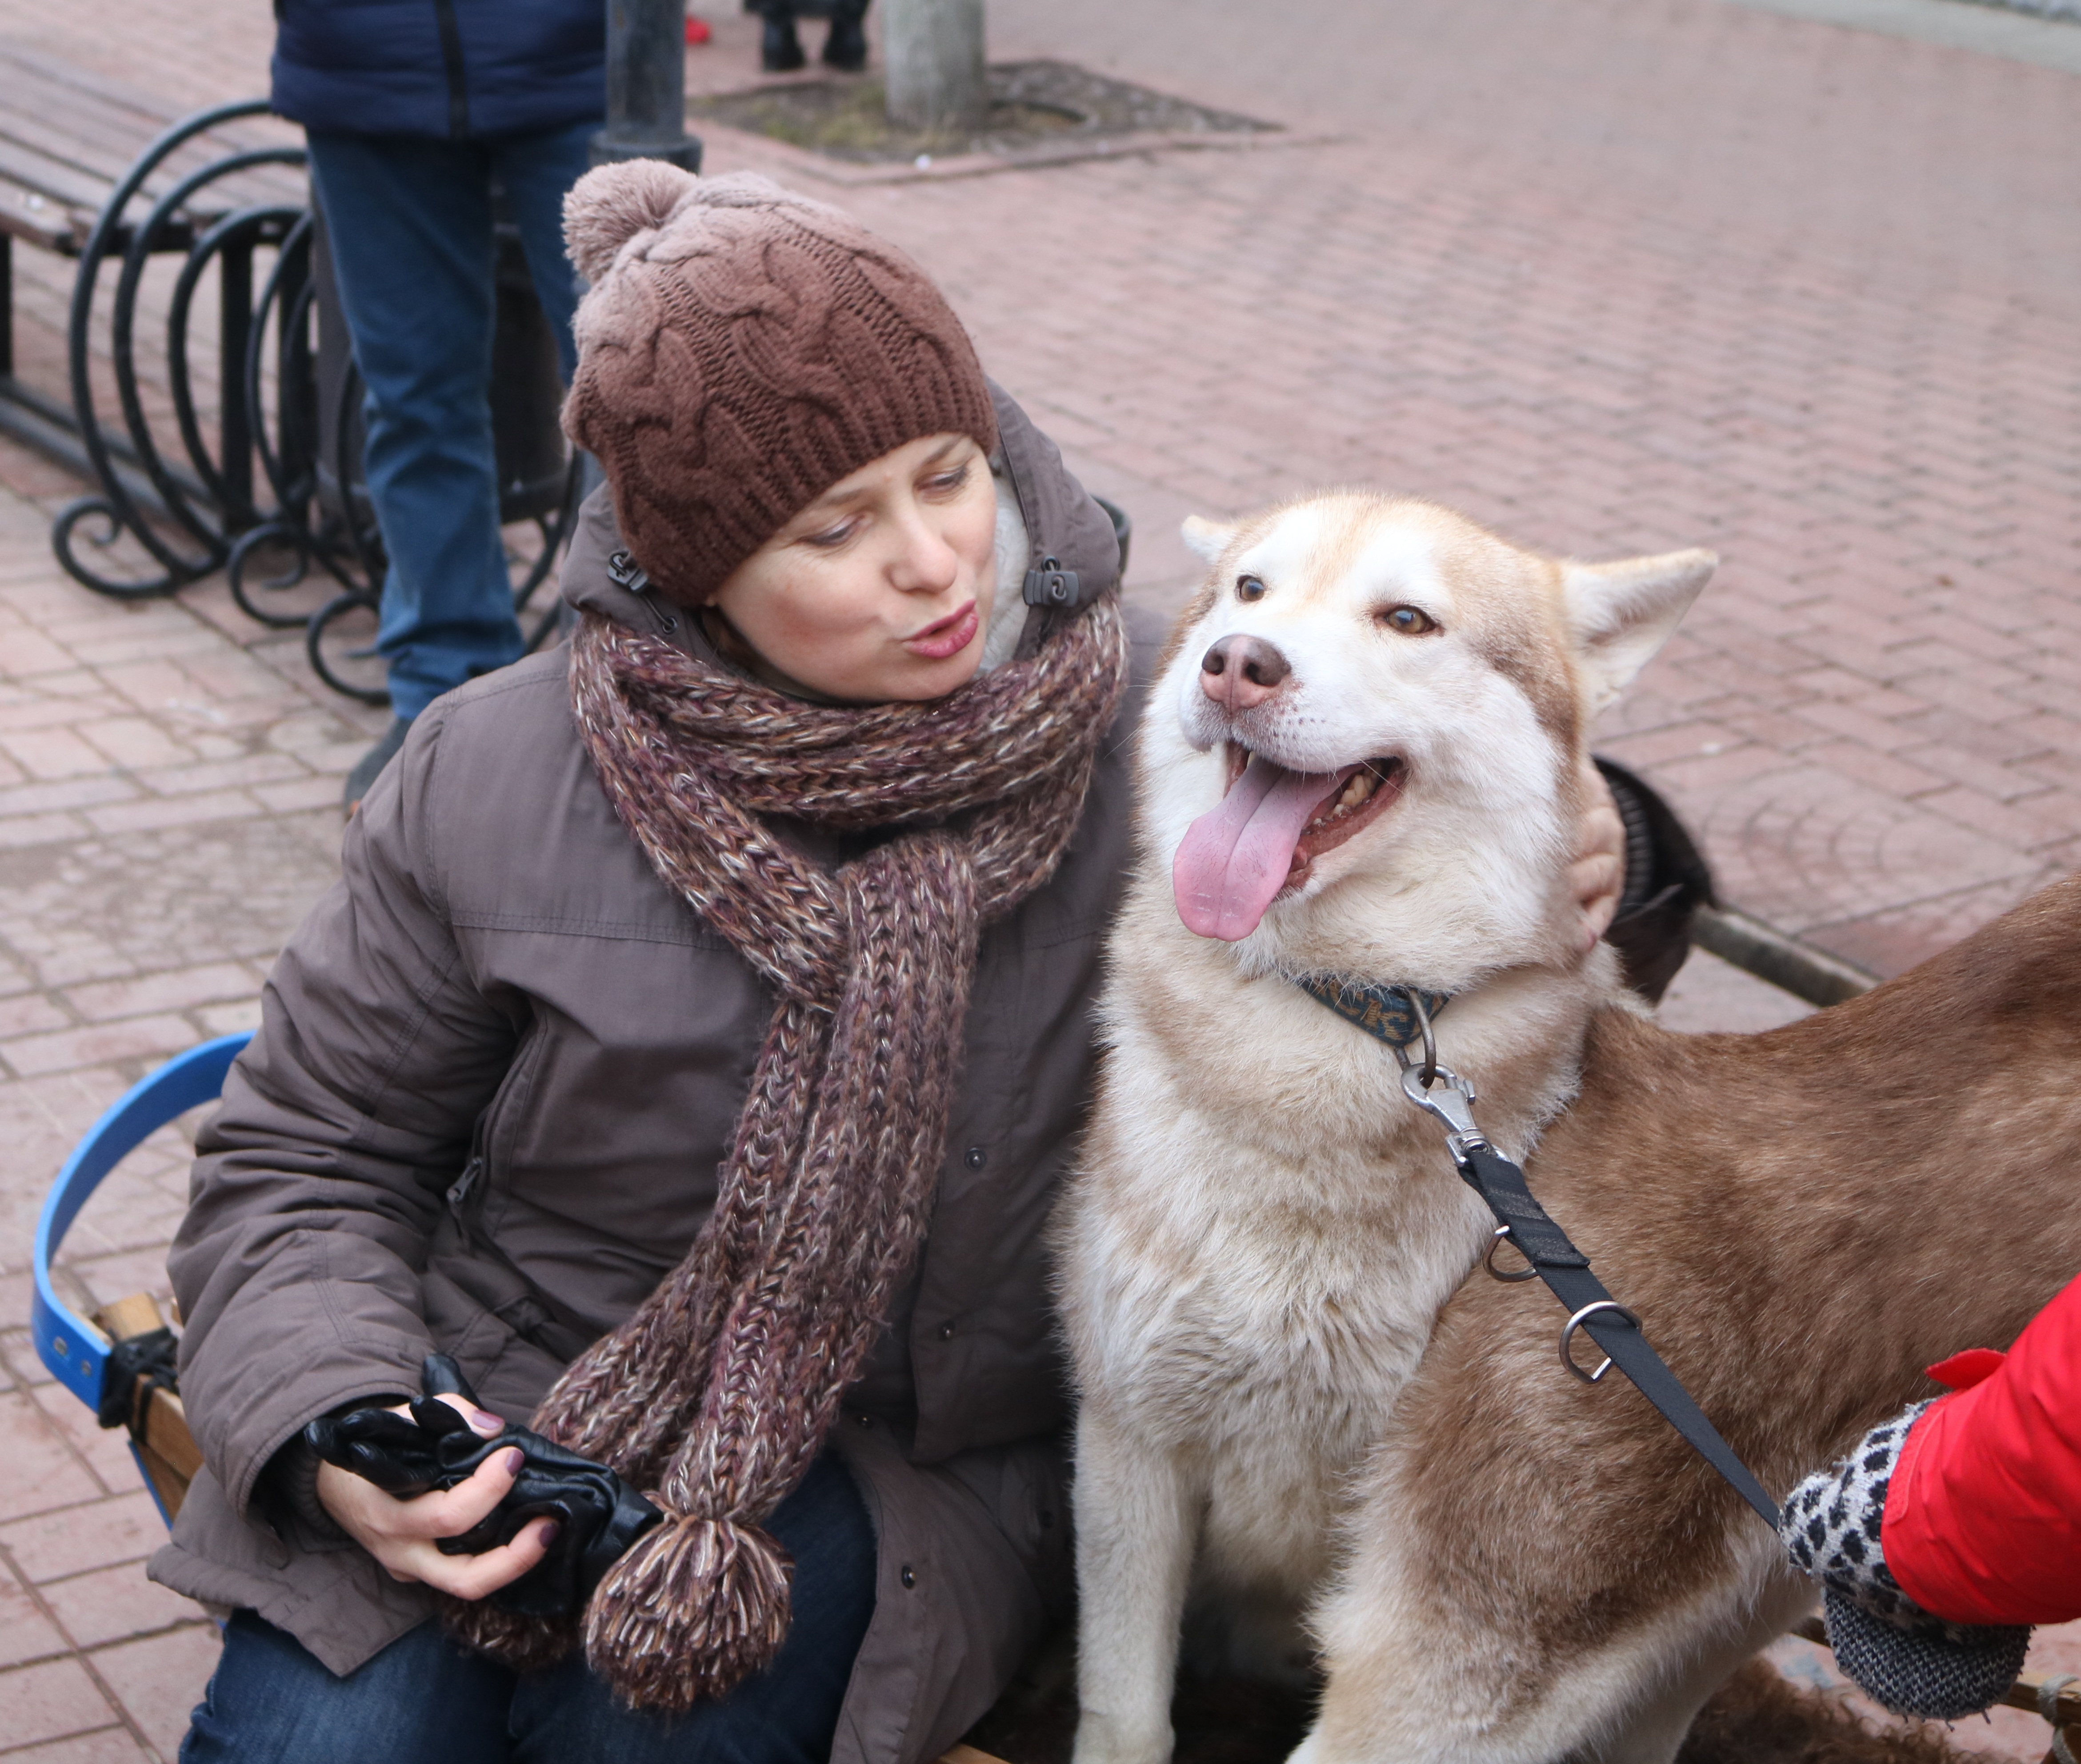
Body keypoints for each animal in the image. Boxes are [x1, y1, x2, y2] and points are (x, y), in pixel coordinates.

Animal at [1058, 491, 1716, 1764]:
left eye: (1406, 619)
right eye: (1249, 591)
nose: (1236, 664)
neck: (1349, 1023)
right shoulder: (1129, 1445)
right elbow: (1124, 1715)